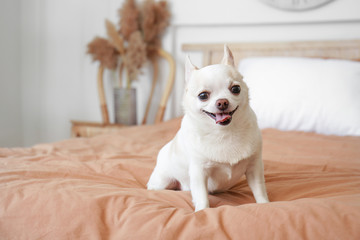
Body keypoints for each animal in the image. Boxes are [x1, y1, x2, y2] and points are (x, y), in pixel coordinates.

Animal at [148, 45, 268, 212]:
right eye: (203, 95)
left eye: (235, 89)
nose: (222, 102)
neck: (224, 133)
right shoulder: (199, 172)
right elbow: (202, 196)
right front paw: (202, 211)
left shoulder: (254, 167)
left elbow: (259, 189)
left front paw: (265, 204)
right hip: (162, 180)